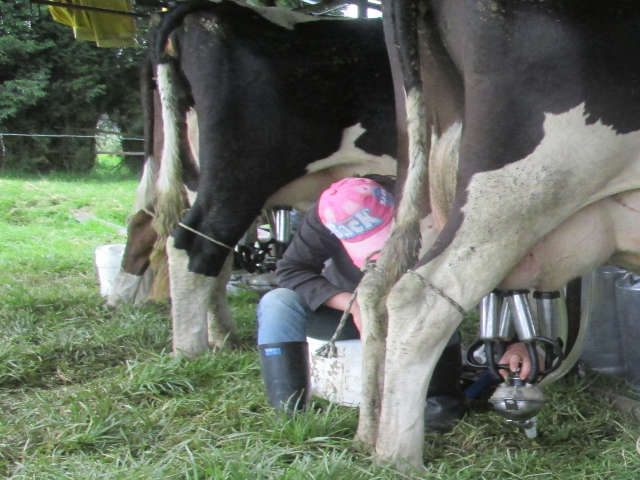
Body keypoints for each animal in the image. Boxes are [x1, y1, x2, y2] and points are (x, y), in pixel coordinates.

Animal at [144, 0, 396, 356]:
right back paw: (191, 352)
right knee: (194, 244)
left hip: (203, 176)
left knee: (216, 255)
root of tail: (214, 10)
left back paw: (223, 336)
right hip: (242, 171)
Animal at [352, 0, 640, 470]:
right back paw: (397, 458)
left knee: (376, 285)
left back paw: (366, 434)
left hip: (424, 175)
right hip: (522, 186)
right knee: (420, 298)